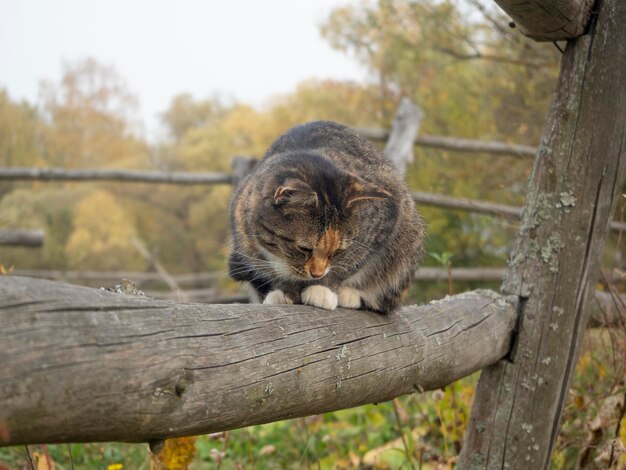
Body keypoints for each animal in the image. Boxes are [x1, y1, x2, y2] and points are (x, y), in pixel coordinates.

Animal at [227, 119, 426, 314]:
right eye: (304, 248)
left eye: (337, 251)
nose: (317, 274)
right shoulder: (247, 246)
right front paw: (284, 291)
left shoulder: (383, 223)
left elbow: (350, 264)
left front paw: (322, 289)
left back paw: (350, 295)